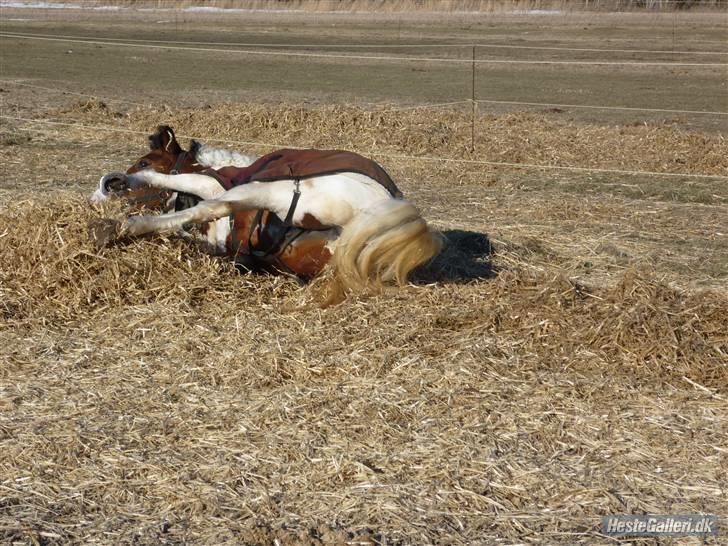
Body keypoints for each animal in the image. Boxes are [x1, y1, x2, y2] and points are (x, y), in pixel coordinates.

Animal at [91, 125, 444, 300]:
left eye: (144, 160)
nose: (106, 185)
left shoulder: (213, 185)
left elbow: (179, 185)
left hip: (273, 193)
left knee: (212, 207)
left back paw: (121, 227)